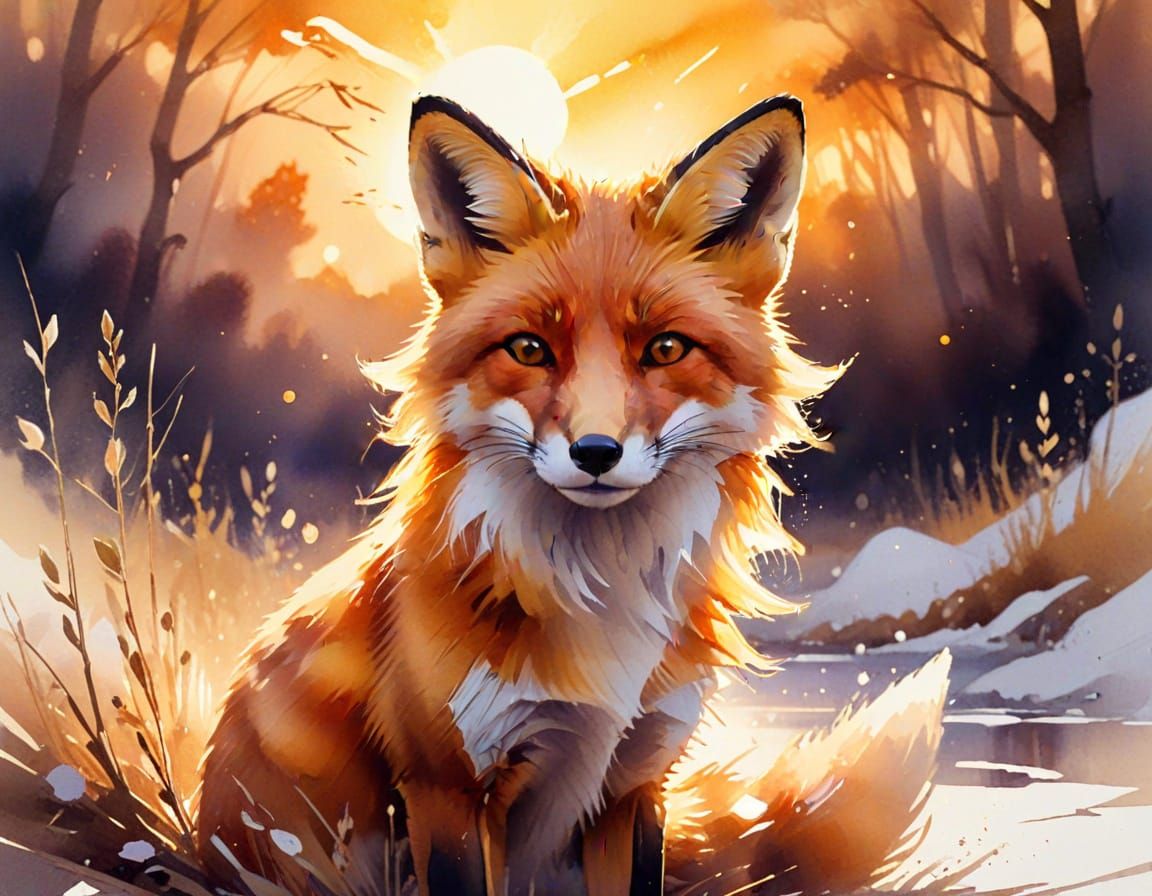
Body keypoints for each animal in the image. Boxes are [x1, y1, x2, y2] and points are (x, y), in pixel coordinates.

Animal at [195, 94, 951, 896]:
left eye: (665, 348)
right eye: (529, 348)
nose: (595, 453)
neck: (596, 604)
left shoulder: (635, 782)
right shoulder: (447, 789)